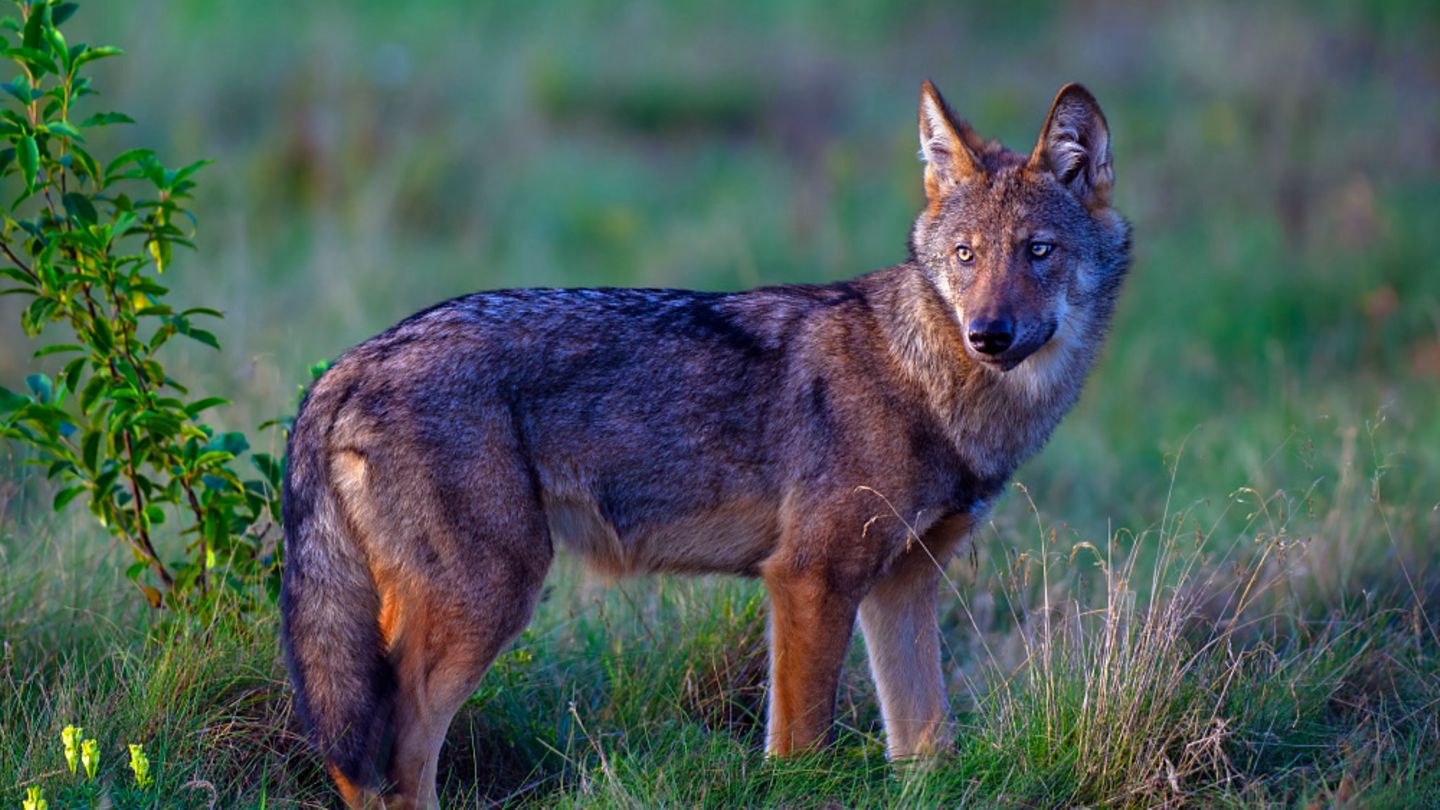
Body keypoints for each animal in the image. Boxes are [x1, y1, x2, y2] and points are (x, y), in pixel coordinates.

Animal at [280, 79, 1131, 808]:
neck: (929, 380)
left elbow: (927, 748)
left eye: (1039, 251)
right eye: (967, 255)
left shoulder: (902, 587)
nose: (990, 334)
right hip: (488, 602)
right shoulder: (810, 577)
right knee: (393, 761)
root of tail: (344, 368)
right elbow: (800, 750)